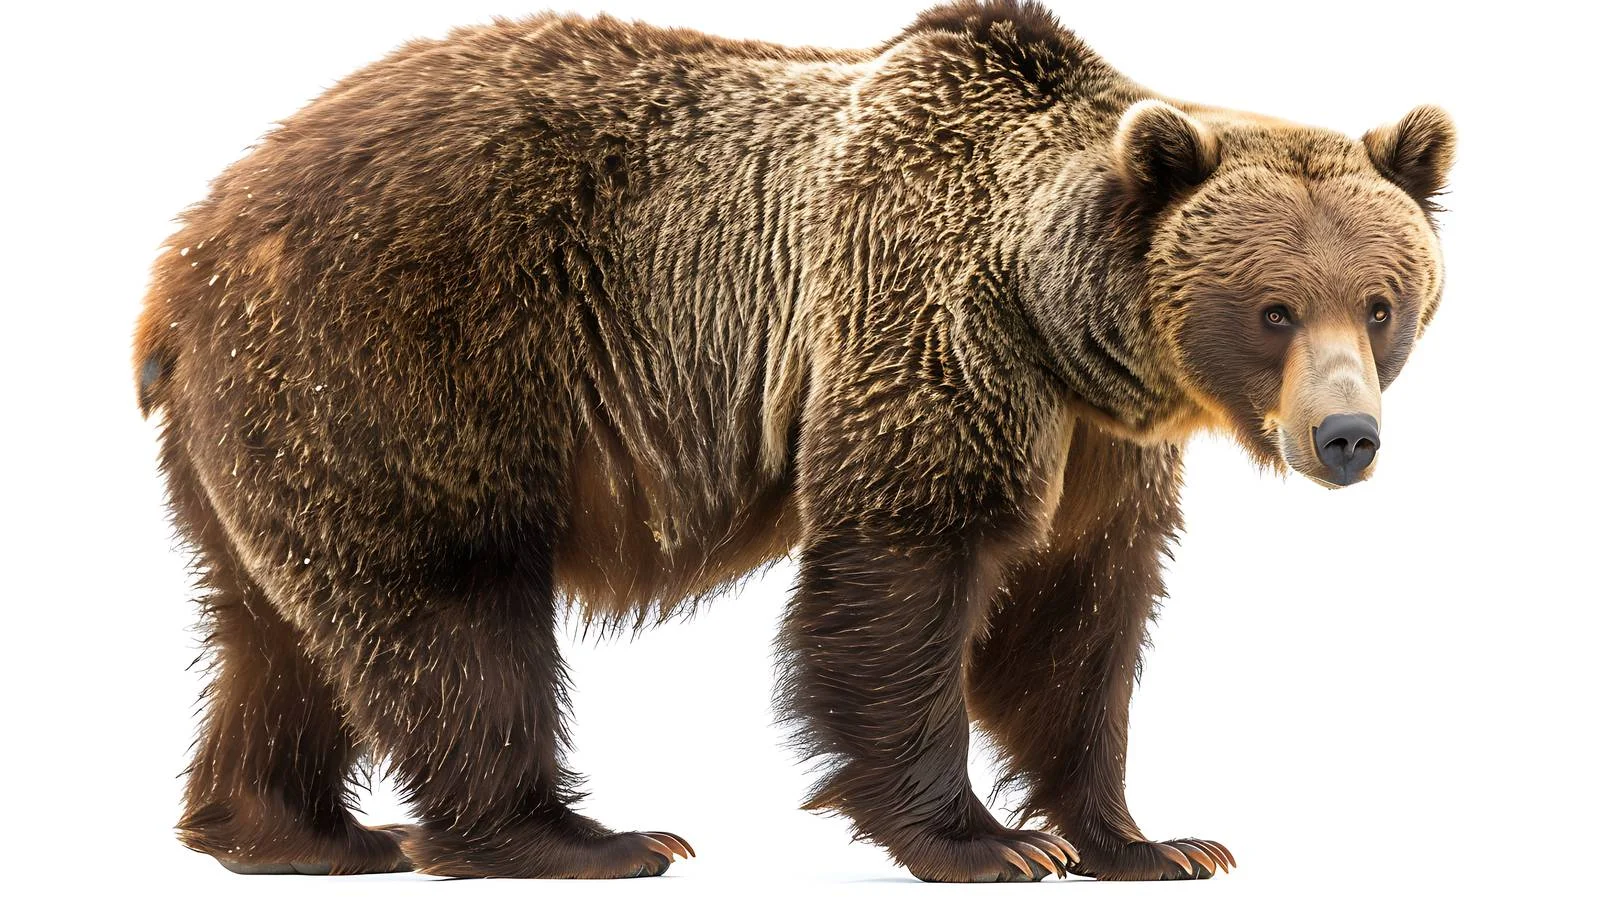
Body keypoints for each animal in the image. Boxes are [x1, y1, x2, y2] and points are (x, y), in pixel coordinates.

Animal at [132, 0, 1454, 882]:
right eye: (1275, 308)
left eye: (1380, 303)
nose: (1345, 436)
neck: (1066, 328)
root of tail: (190, 250)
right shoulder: (928, 328)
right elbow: (904, 571)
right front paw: (984, 842)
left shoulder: (1098, 444)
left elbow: (1076, 614)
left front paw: (1151, 839)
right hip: (406, 358)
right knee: (452, 611)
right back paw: (572, 834)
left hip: (259, 429)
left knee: (272, 628)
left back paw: (290, 831)